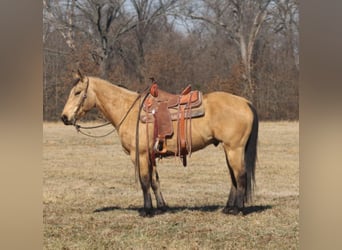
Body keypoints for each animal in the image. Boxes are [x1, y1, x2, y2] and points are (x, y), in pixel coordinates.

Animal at [61, 71, 258, 216]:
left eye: (77, 92)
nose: (64, 117)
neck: (129, 110)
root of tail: (245, 102)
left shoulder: (139, 155)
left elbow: (144, 180)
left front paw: (147, 210)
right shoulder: (150, 155)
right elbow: (155, 181)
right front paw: (161, 207)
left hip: (234, 149)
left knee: (240, 175)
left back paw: (238, 210)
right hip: (228, 149)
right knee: (233, 177)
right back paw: (228, 208)